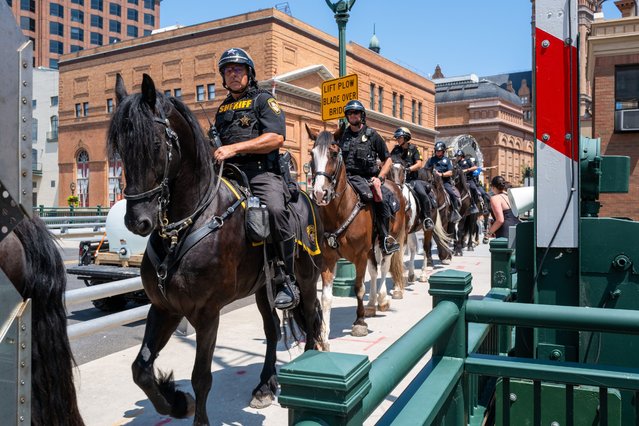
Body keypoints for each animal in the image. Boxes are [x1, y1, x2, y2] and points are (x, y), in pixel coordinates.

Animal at [109, 74, 324, 426]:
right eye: (120, 150)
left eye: (154, 144)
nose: (137, 220)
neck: (187, 224)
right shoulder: (165, 307)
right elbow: (140, 368)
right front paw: (176, 402)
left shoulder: (207, 312)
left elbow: (202, 377)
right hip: (263, 290)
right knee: (271, 331)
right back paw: (265, 386)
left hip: (305, 279)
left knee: (310, 316)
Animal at [306, 125, 404, 344]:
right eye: (311, 154)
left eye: (334, 153)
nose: (319, 193)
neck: (340, 210)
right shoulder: (328, 259)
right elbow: (326, 297)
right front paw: (323, 335)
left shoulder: (359, 256)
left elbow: (359, 287)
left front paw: (359, 323)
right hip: (371, 248)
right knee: (375, 271)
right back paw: (372, 304)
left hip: (389, 242)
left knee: (383, 268)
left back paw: (382, 300)